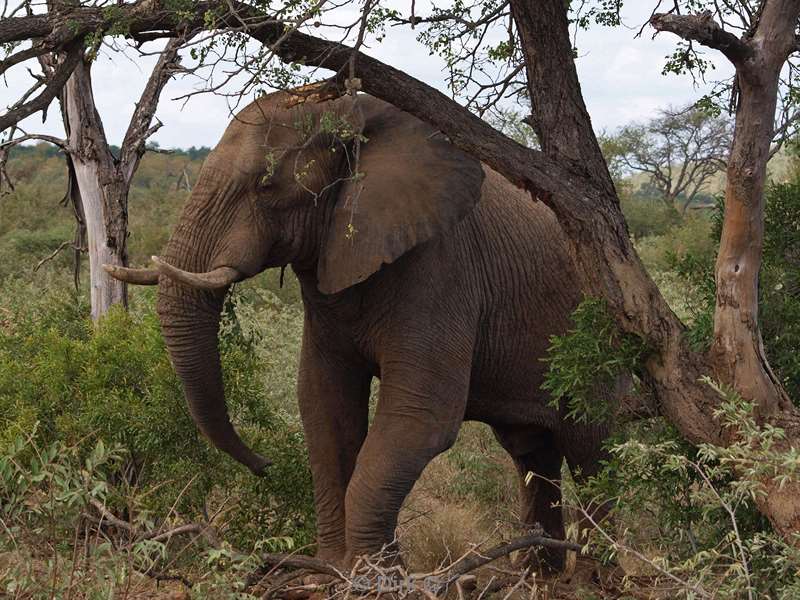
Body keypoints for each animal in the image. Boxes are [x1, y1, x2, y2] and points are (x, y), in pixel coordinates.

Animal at [108, 88, 612, 568]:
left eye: (266, 185)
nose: (264, 464)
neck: (358, 115)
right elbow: (323, 403)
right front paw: (333, 568)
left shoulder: (442, 266)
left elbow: (419, 414)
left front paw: (375, 575)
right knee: (532, 452)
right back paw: (538, 575)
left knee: (591, 448)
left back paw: (593, 575)